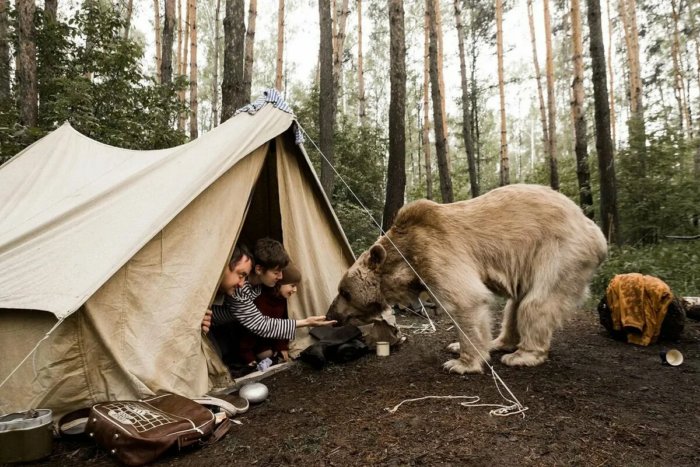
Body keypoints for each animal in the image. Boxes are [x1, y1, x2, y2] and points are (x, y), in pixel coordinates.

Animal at [328, 185, 608, 374]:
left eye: (344, 291)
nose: (332, 314)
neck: (405, 258)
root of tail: (595, 231)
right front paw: (457, 347)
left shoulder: (435, 251)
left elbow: (466, 300)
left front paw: (459, 363)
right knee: (515, 305)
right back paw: (498, 342)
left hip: (559, 252)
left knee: (536, 303)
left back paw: (522, 355)